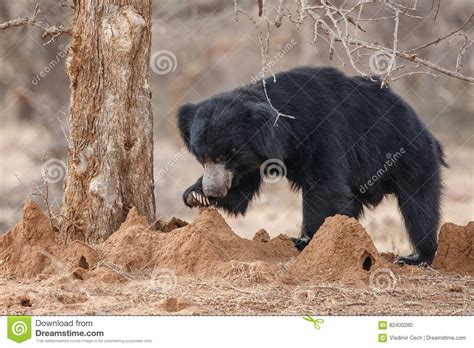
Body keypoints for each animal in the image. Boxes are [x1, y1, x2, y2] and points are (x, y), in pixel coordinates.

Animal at [176, 66, 446, 266]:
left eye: (226, 155)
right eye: (203, 157)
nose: (212, 189)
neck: (283, 130)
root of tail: (426, 131)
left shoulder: (322, 130)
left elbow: (324, 185)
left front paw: (305, 241)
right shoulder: (255, 159)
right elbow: (241, 191)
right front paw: (195, 196)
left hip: (410, 155)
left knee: (419, 205)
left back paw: (417, 257)